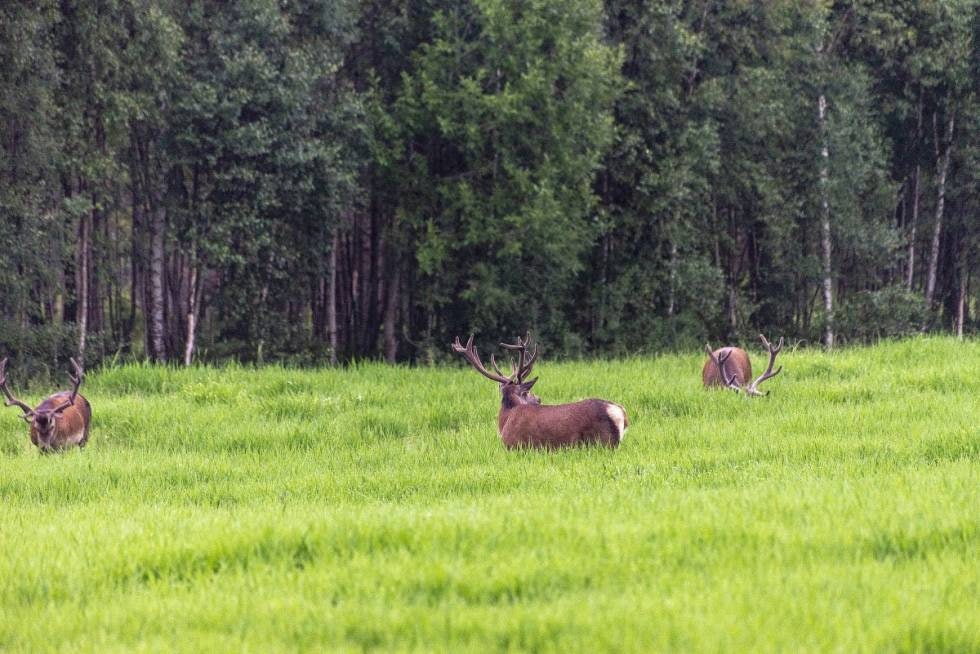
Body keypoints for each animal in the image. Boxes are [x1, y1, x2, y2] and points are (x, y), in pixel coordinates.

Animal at [452, 336, 628, 448]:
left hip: (601, 442)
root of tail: (619, 413)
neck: (506, 419)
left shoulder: (512, 445)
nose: (538, 399)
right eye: (527, 393)